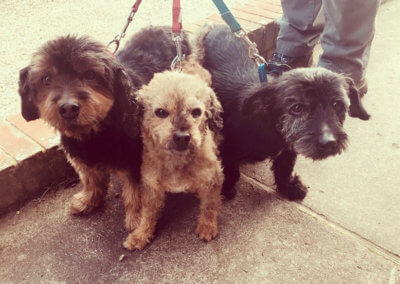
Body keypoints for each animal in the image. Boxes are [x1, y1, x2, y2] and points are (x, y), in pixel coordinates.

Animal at [123, 61, 223, 250]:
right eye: (161, 112)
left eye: (196, 112)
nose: (182, 137)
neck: (177, 161)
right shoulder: (152, 187)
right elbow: (148, 213)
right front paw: (141, 234)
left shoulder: (212, 179)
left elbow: (209, 205)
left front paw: (207, 226)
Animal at [195, 25, 370, 201]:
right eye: (297, 108)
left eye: (337, 105)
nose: (329, 142)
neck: (270, 125)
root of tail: (218, 27)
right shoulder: (228, 145)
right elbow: (230, 168)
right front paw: (225, 188)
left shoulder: (289, 148)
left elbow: (285, 168)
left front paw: (288, 187)